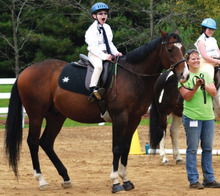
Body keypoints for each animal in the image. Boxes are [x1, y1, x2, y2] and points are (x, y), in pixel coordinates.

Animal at [4, 30, 188, 193]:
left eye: (184, 49)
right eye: (170, 49)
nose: (184, 75)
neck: (132, 76)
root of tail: (24, 73)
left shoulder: (134, 119)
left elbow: (126, 148)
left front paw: (126, 180)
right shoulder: (120, 118)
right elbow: (117, 148)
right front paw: (115, 182)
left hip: (56, 117)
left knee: (46, 143)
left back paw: (65, 177)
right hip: (36, 115)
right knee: (33, 142)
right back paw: (41, 180)